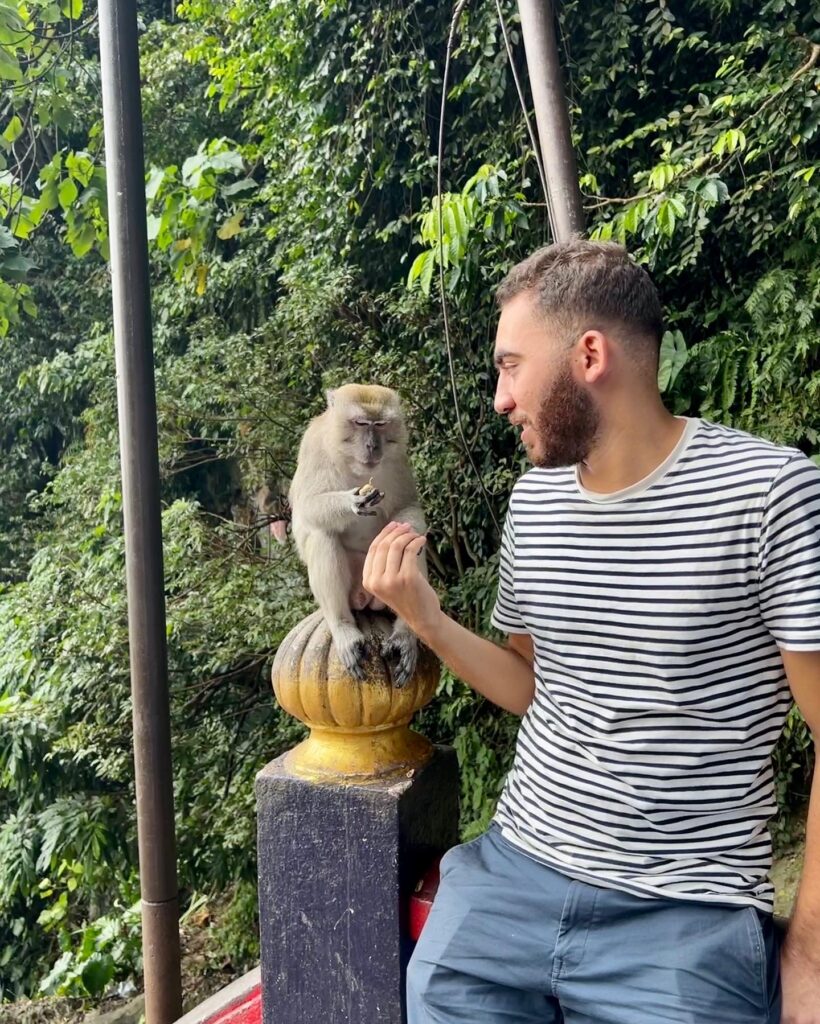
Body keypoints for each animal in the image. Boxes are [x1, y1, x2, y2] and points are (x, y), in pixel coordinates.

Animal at [288, 385, 427, 688]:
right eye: (361, 423)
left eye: (381, 425)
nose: (373, 446)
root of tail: (365, 598)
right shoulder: (313, 447)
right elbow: (307, 508)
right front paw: (353, 502)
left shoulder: (397, 457)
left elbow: (406, 507)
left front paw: (411, 529)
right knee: (322, 534)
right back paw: (343, 627)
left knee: (408, 549)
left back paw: (404, 634)